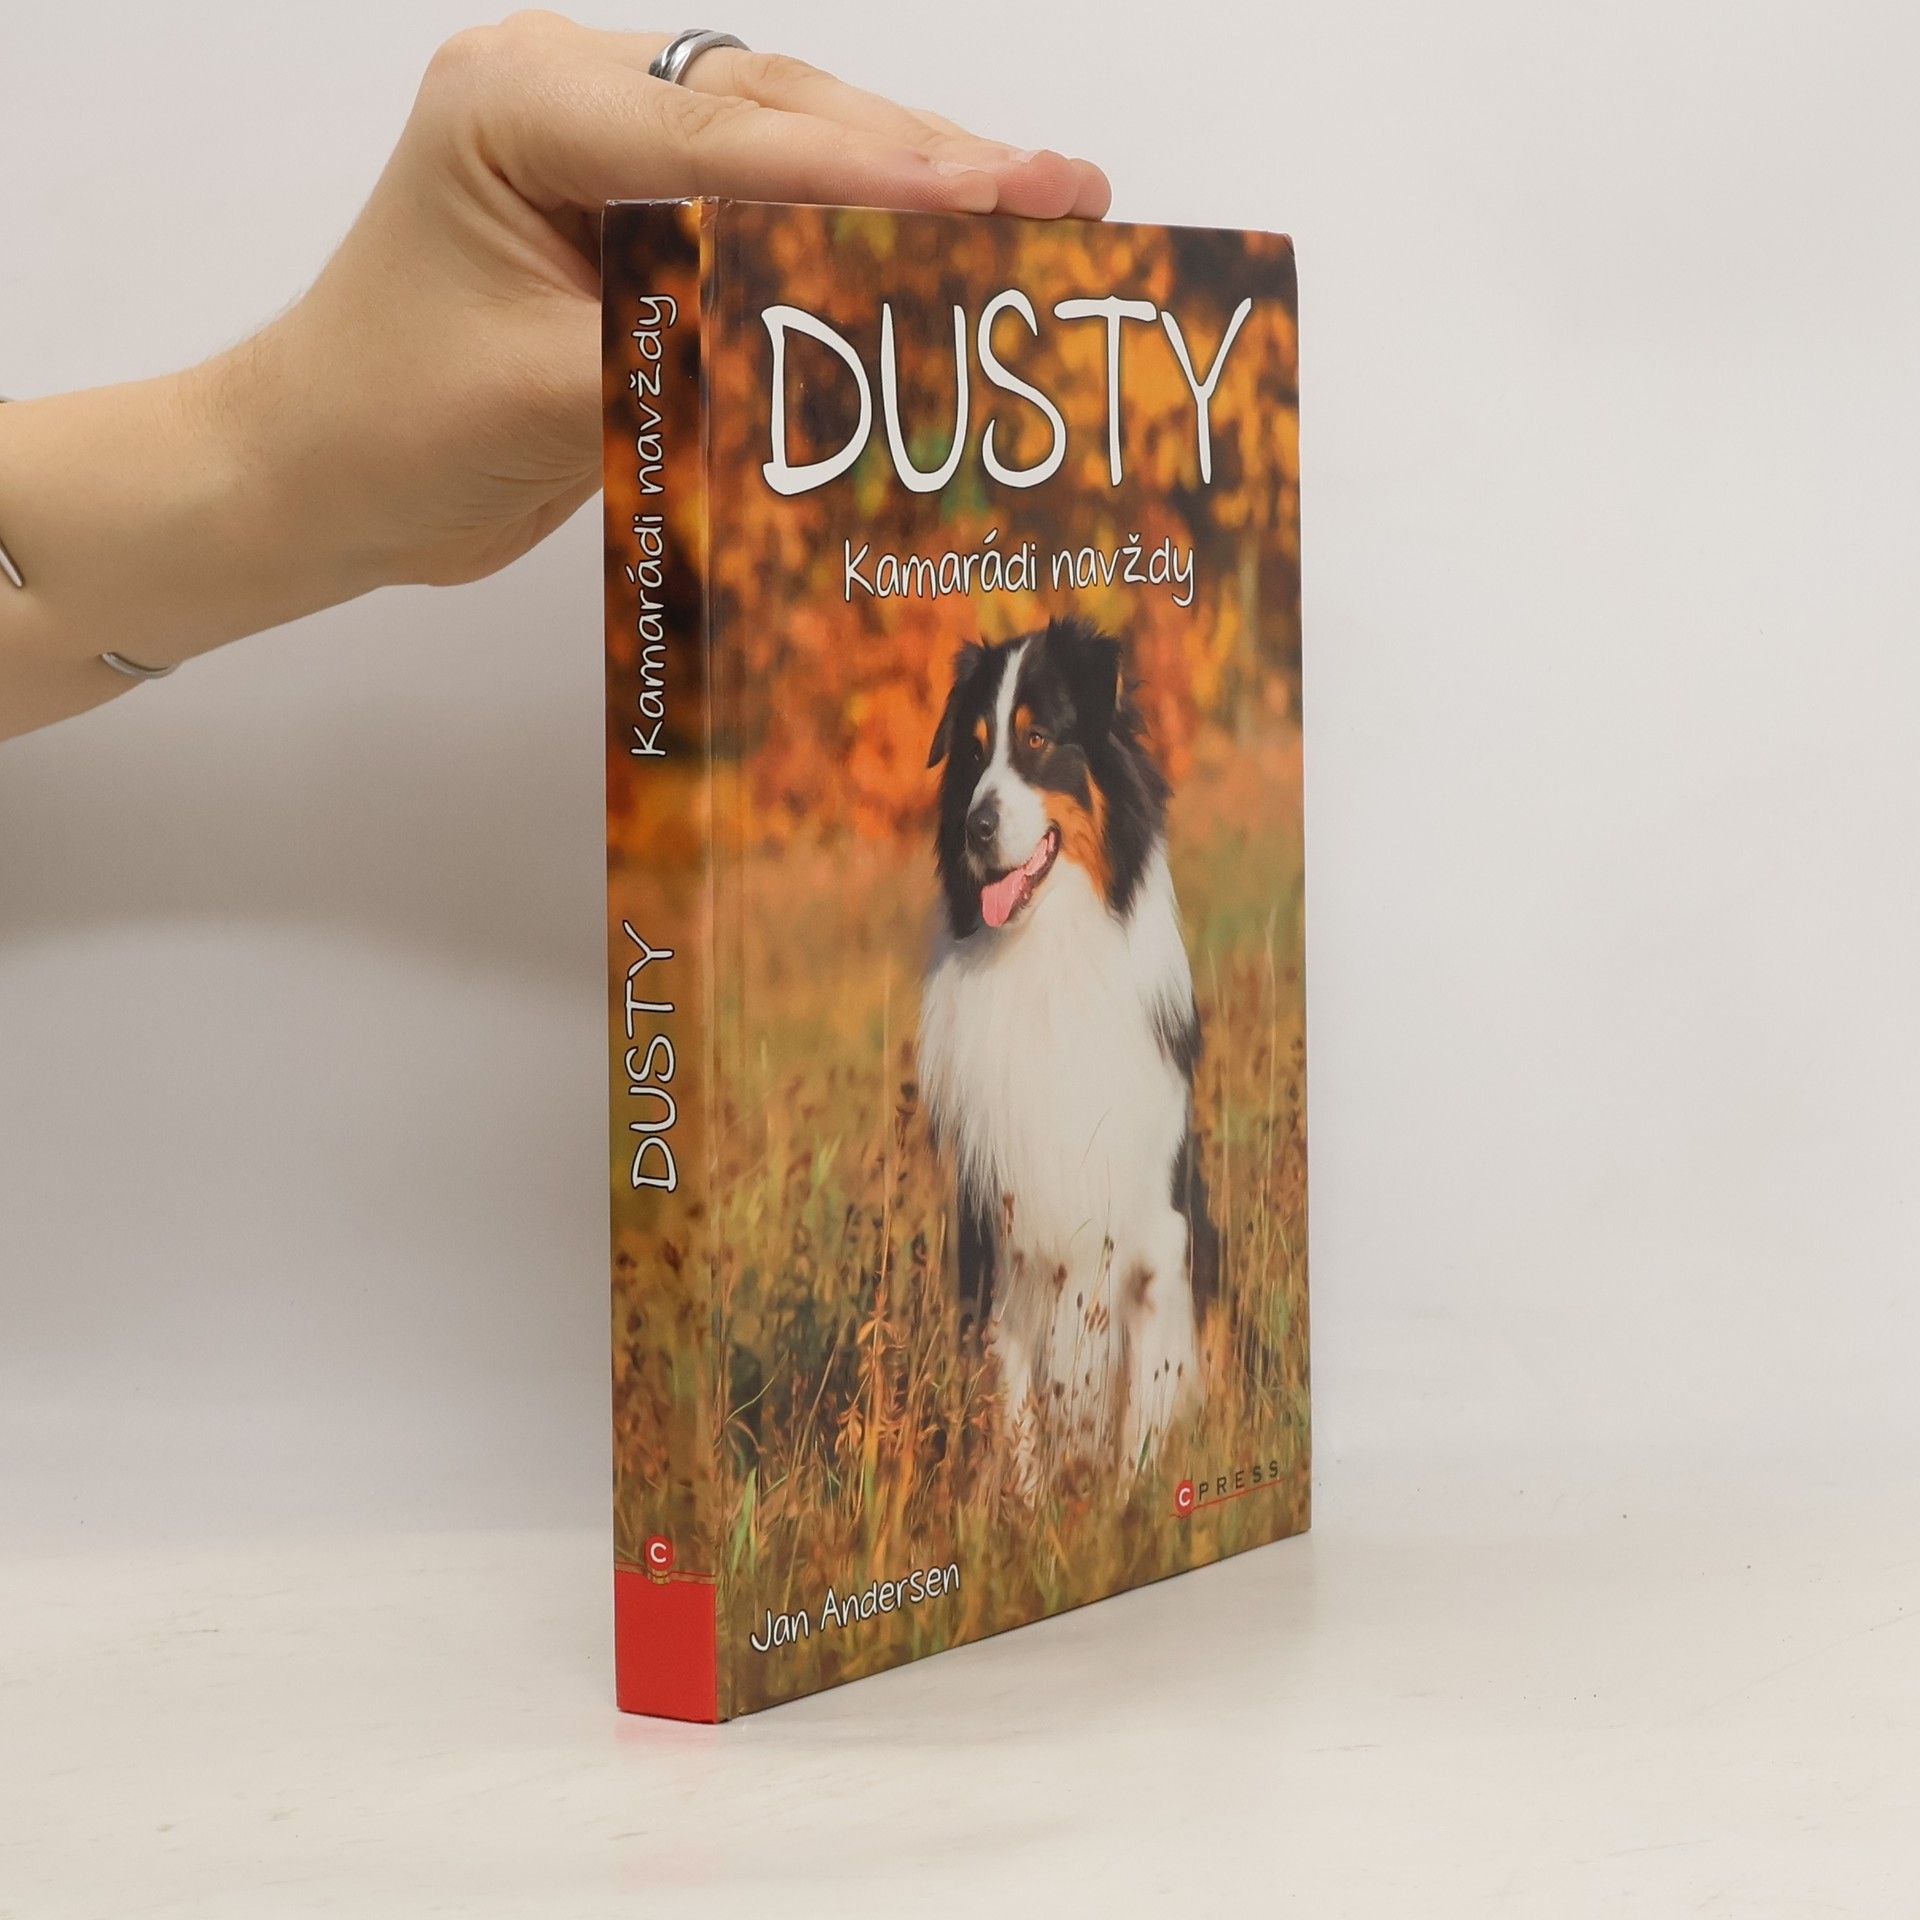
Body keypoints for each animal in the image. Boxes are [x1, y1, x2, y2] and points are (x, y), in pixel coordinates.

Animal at [916, 617, 1219, 1484]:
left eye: (1037, 739)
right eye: (973, 752)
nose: (976, 827)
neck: (1044, 951)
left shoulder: (1156, 1239)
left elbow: (1141, 1412)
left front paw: (1132, 1501)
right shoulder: (1000, 1240)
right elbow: (1015, 1412)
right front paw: (1026, 1508)